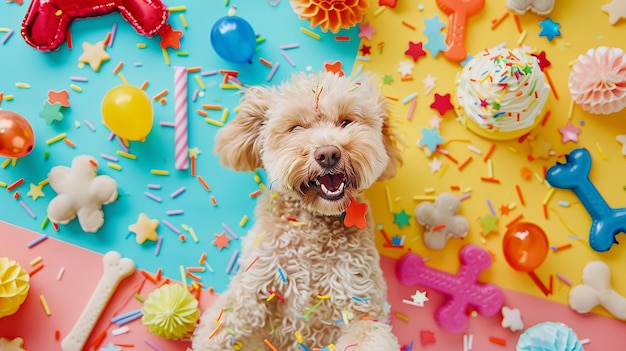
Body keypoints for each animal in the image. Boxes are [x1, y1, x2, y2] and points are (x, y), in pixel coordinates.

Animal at [190, 71, 402, 351]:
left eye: (346, 121)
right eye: (296, 128)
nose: (328, 153)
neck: (313, 227)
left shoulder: (361, 305)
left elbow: (366, 334)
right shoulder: (253, 289)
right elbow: (222, 329)